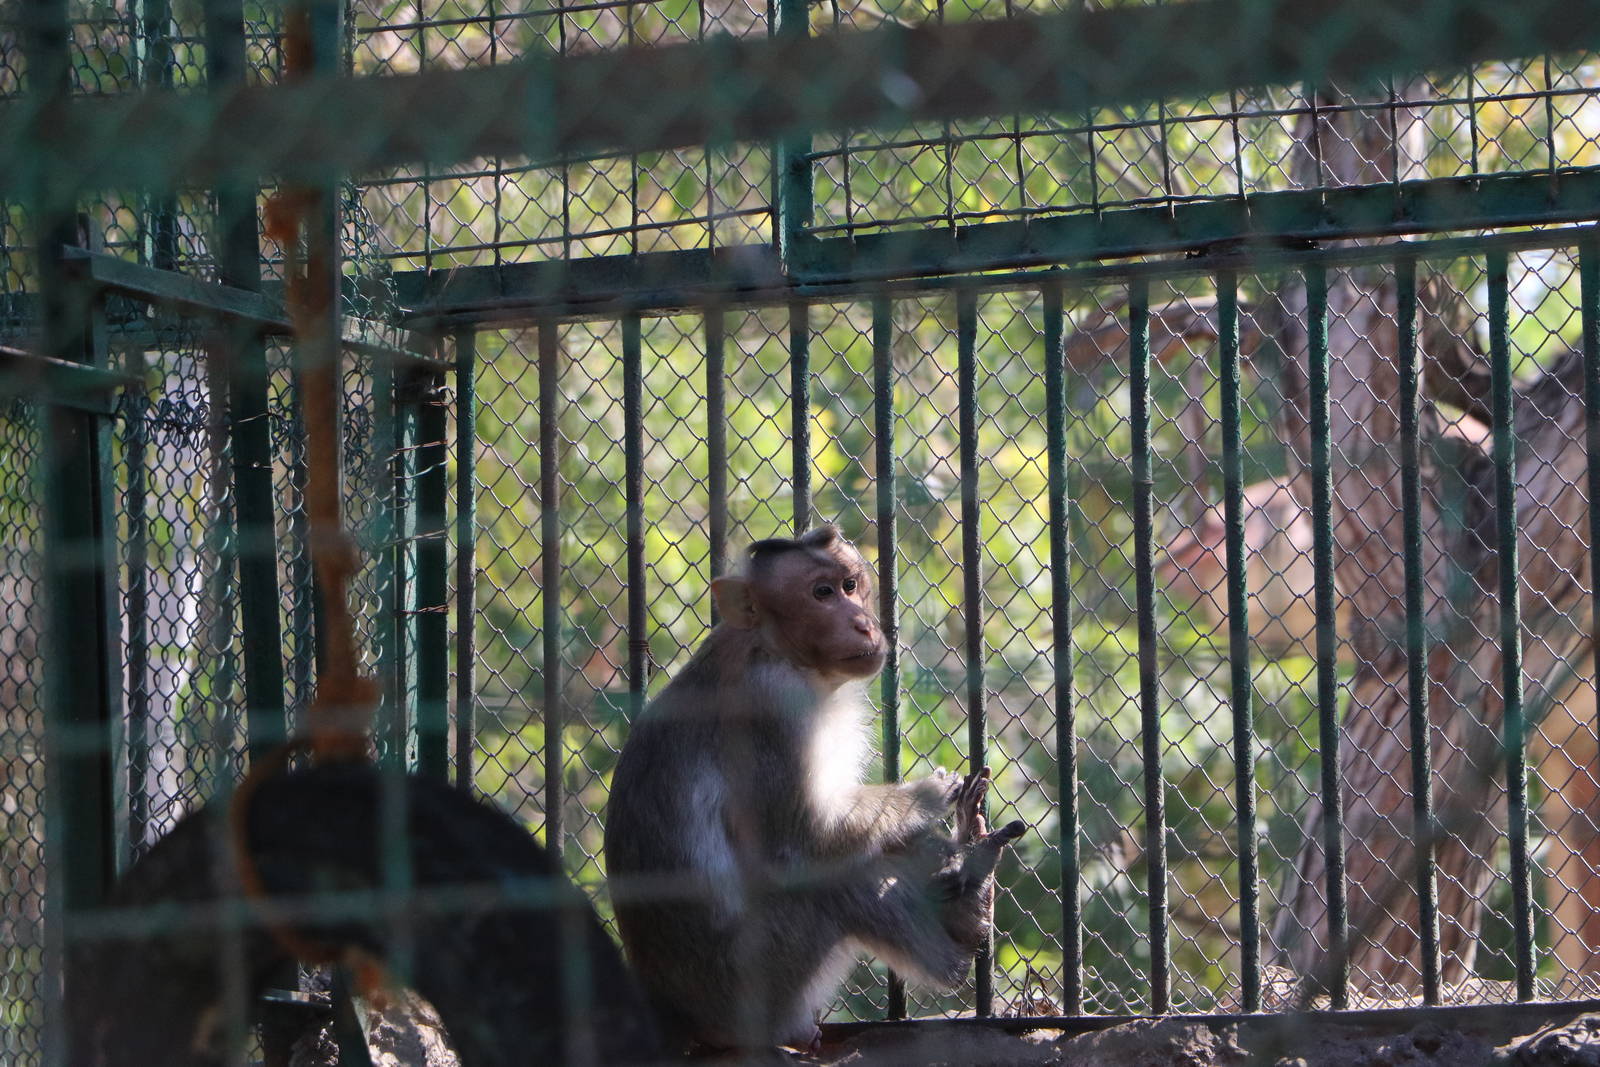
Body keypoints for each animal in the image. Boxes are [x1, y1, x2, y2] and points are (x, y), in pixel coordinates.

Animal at [603, 524, 1025, 1052]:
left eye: (849, 585)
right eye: (821, 594)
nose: (863, 624)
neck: (775, 649)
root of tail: (679, 1016)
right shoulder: (772, 707)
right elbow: (805, 839)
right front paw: (926, 796)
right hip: (755, 982)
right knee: (840, 881)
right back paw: (965, 928)